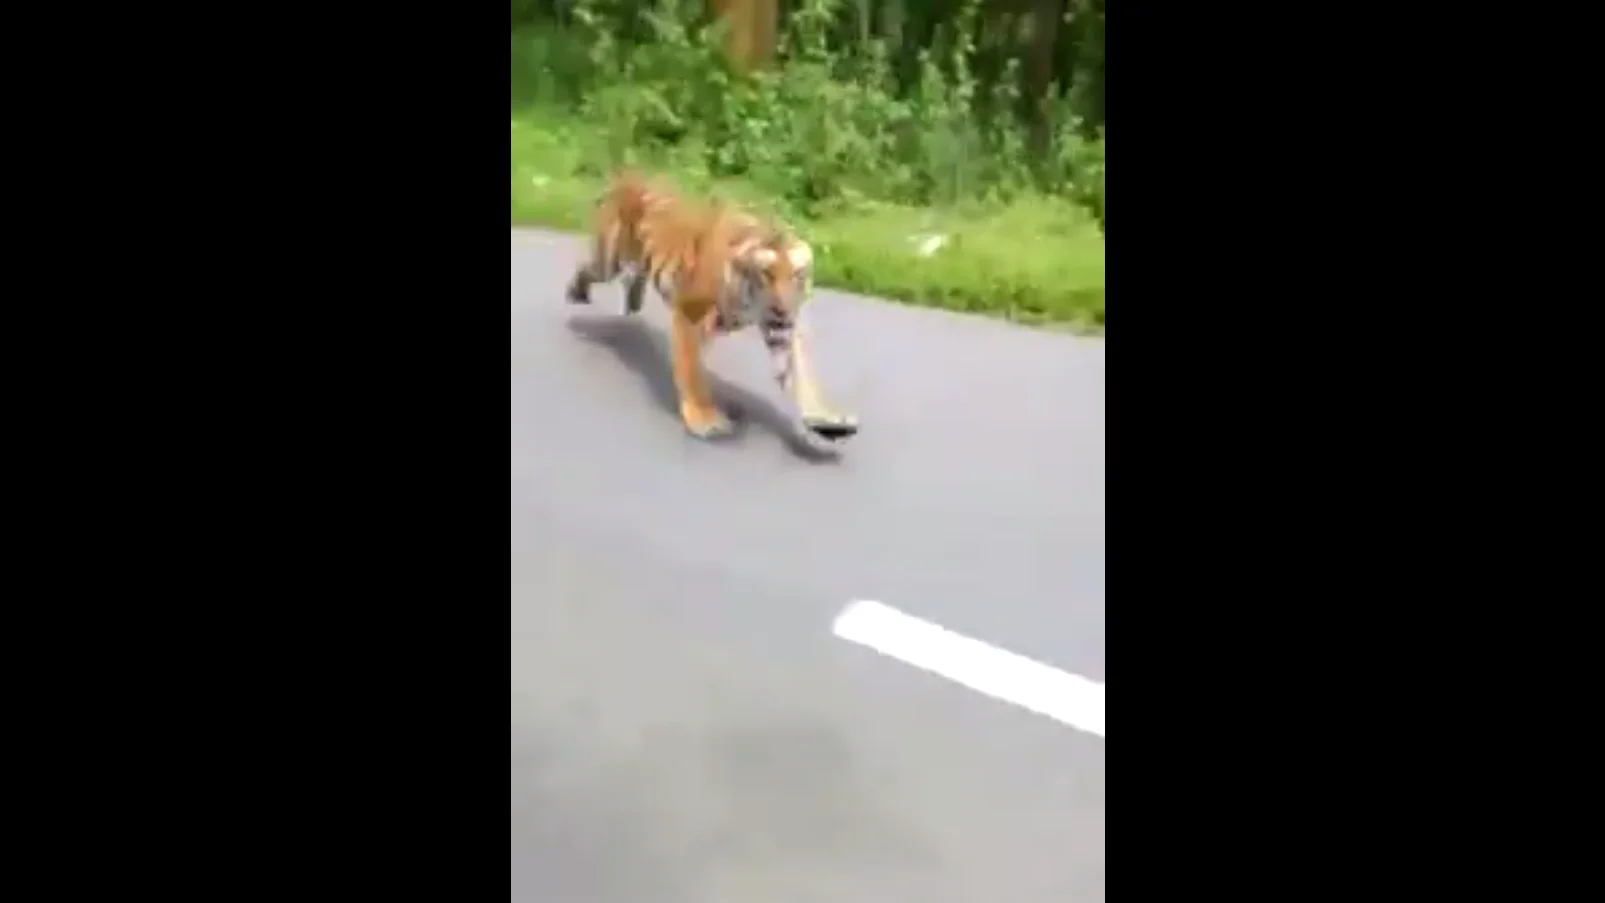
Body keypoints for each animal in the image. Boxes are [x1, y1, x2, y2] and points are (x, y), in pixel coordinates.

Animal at [568, 170, 860, 445]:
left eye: (797, 275)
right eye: (766, 274)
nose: (783, 310)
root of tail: (628, 175)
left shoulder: (783, 329)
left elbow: (802, 376)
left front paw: (827, 422)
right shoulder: (690, 314)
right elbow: (692, 371)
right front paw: (705, 420)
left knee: (635, 276)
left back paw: (633, 302)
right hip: (608, 259)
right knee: (587, 269)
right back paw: (577, 294)